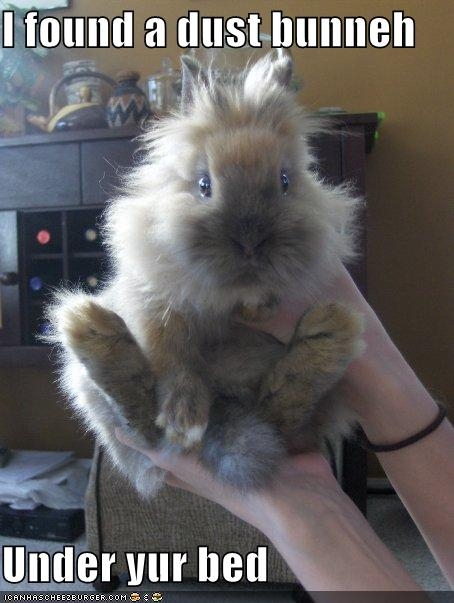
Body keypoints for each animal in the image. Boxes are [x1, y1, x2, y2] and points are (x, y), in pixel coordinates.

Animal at [49, 49, 364, 498]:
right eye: (203, 185)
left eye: (286, 181)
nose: (250, 242)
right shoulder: (153, 304)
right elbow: (172, 359)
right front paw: (183, 420)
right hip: (92, 393)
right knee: (143, 424)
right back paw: (93, 330)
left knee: (283, 421)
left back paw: (328, 335)